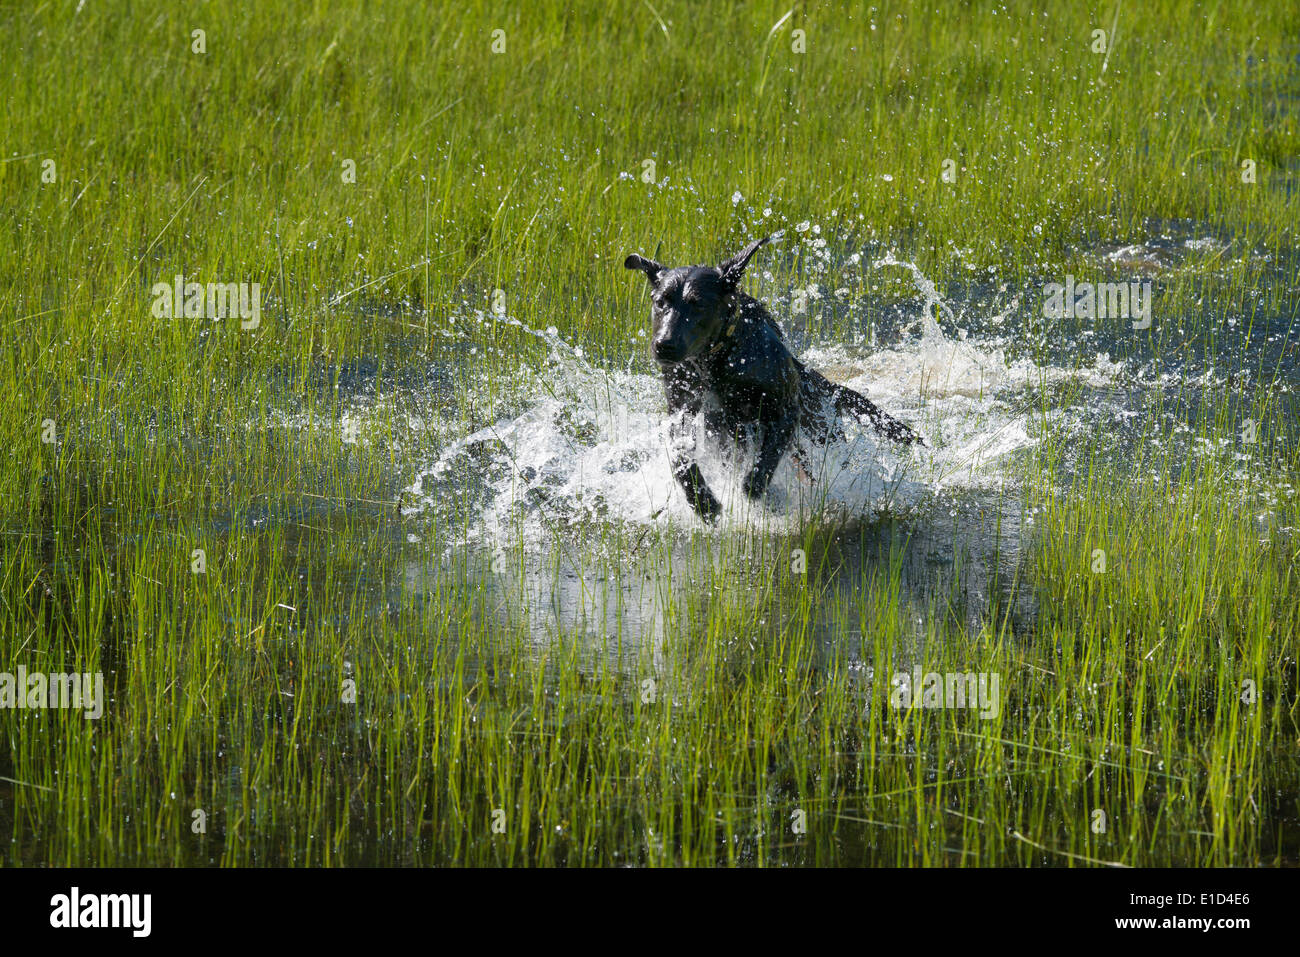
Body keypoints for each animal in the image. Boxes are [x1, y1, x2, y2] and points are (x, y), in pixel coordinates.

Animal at [621, 237, 920, 522]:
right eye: (660, 301)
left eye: (699, 304)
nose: (664, 345)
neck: (716, 363)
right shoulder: (683, 412)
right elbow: (681, 458)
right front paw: (704, 502)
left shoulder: (784, 412)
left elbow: (762, 466)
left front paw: (762, 495)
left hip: (821, 434)